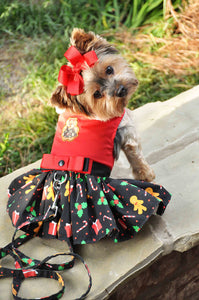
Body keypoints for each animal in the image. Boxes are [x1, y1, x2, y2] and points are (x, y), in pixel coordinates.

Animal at [50, 28, 155, 183]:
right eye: (97, 94)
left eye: (109, 69)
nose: (120, 90)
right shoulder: (126, 132)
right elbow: (135, 155)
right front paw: (146, 174)